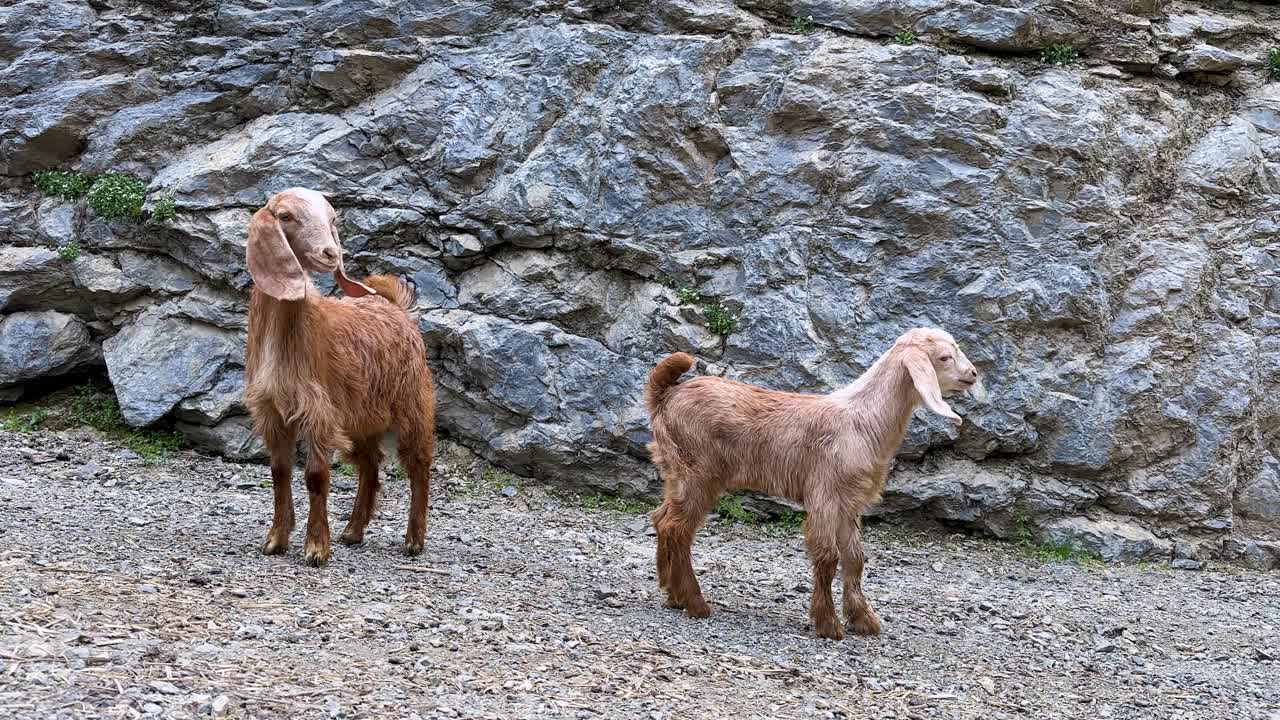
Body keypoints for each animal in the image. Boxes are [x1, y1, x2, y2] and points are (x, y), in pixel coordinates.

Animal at [243, 187, 435, 567]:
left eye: (331, 219)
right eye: (286, 216)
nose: (330, 254)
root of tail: (395, 307)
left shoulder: (320, 412)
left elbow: (316, 477)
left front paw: (317, 548)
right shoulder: (272, 410)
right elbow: (279, 472)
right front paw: (275, 540)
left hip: (412, 403)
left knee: (418, 463)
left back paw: (414, 541)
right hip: (362, 416)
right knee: (371, 464)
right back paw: (354, 531)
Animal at [644, 328, 984, 639]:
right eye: (944, 357)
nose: (973, 374)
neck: (863, 419)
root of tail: (666, 395)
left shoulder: (850, 503)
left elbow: (855, 557)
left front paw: (863, 619)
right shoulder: (825, 493)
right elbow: (827, 556)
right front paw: (828, 624)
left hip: (676, 472)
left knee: (662, 519)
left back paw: (672, 593)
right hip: (698, 473)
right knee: (678, 528)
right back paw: (695, 602)